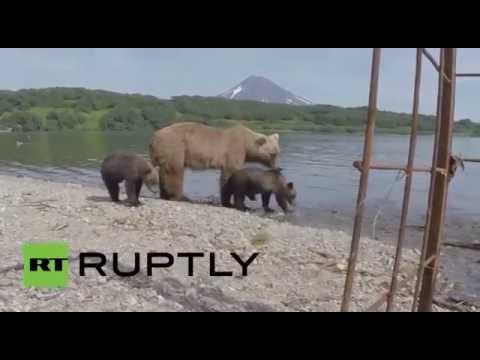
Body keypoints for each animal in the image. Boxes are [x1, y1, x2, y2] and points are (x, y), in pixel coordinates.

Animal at [148, 120, 280, 200]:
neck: (247, 144)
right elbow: (229, 173)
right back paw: (180, 196)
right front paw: (228, 199)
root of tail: (154, 136)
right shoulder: (234, 150)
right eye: (273, 154)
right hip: (176, 147)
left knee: (164, 171)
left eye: (278, 152)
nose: (277, 167)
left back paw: (164, 195)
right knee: (175, 171)